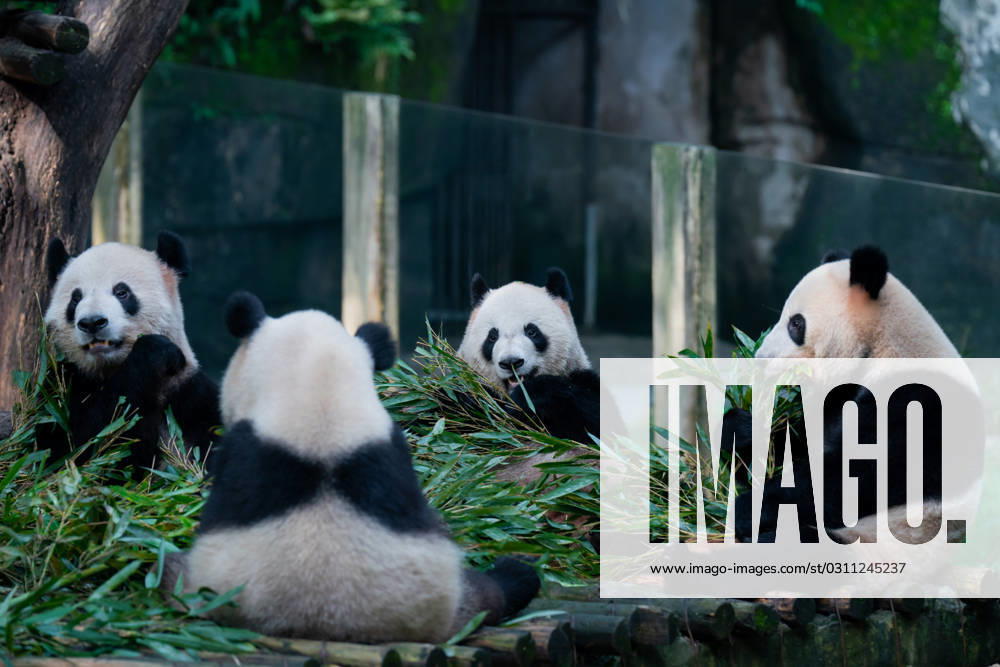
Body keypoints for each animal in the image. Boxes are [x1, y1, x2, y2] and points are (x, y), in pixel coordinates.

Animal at [36, 232, 220, 472]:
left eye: (122, 292)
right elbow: (72, 451)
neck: (110, 368)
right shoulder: (59, 388)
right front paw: (156, 351)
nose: (92, 322)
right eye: (75, 298)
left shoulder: (191, 394)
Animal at [457, 268, 599, 448]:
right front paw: (469, 399)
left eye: (532, 331)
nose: (511, 362)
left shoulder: (580, 378)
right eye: (492, 337)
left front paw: (529, 394)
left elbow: (591, 420)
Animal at [733, 245, 974, 544]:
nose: (760, 358)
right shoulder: (838, 398)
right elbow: (800, 443)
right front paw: (741, 429)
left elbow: (858, 475)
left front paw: (746, 509)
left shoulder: (918, 403)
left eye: (796, 324)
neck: (882, 346)